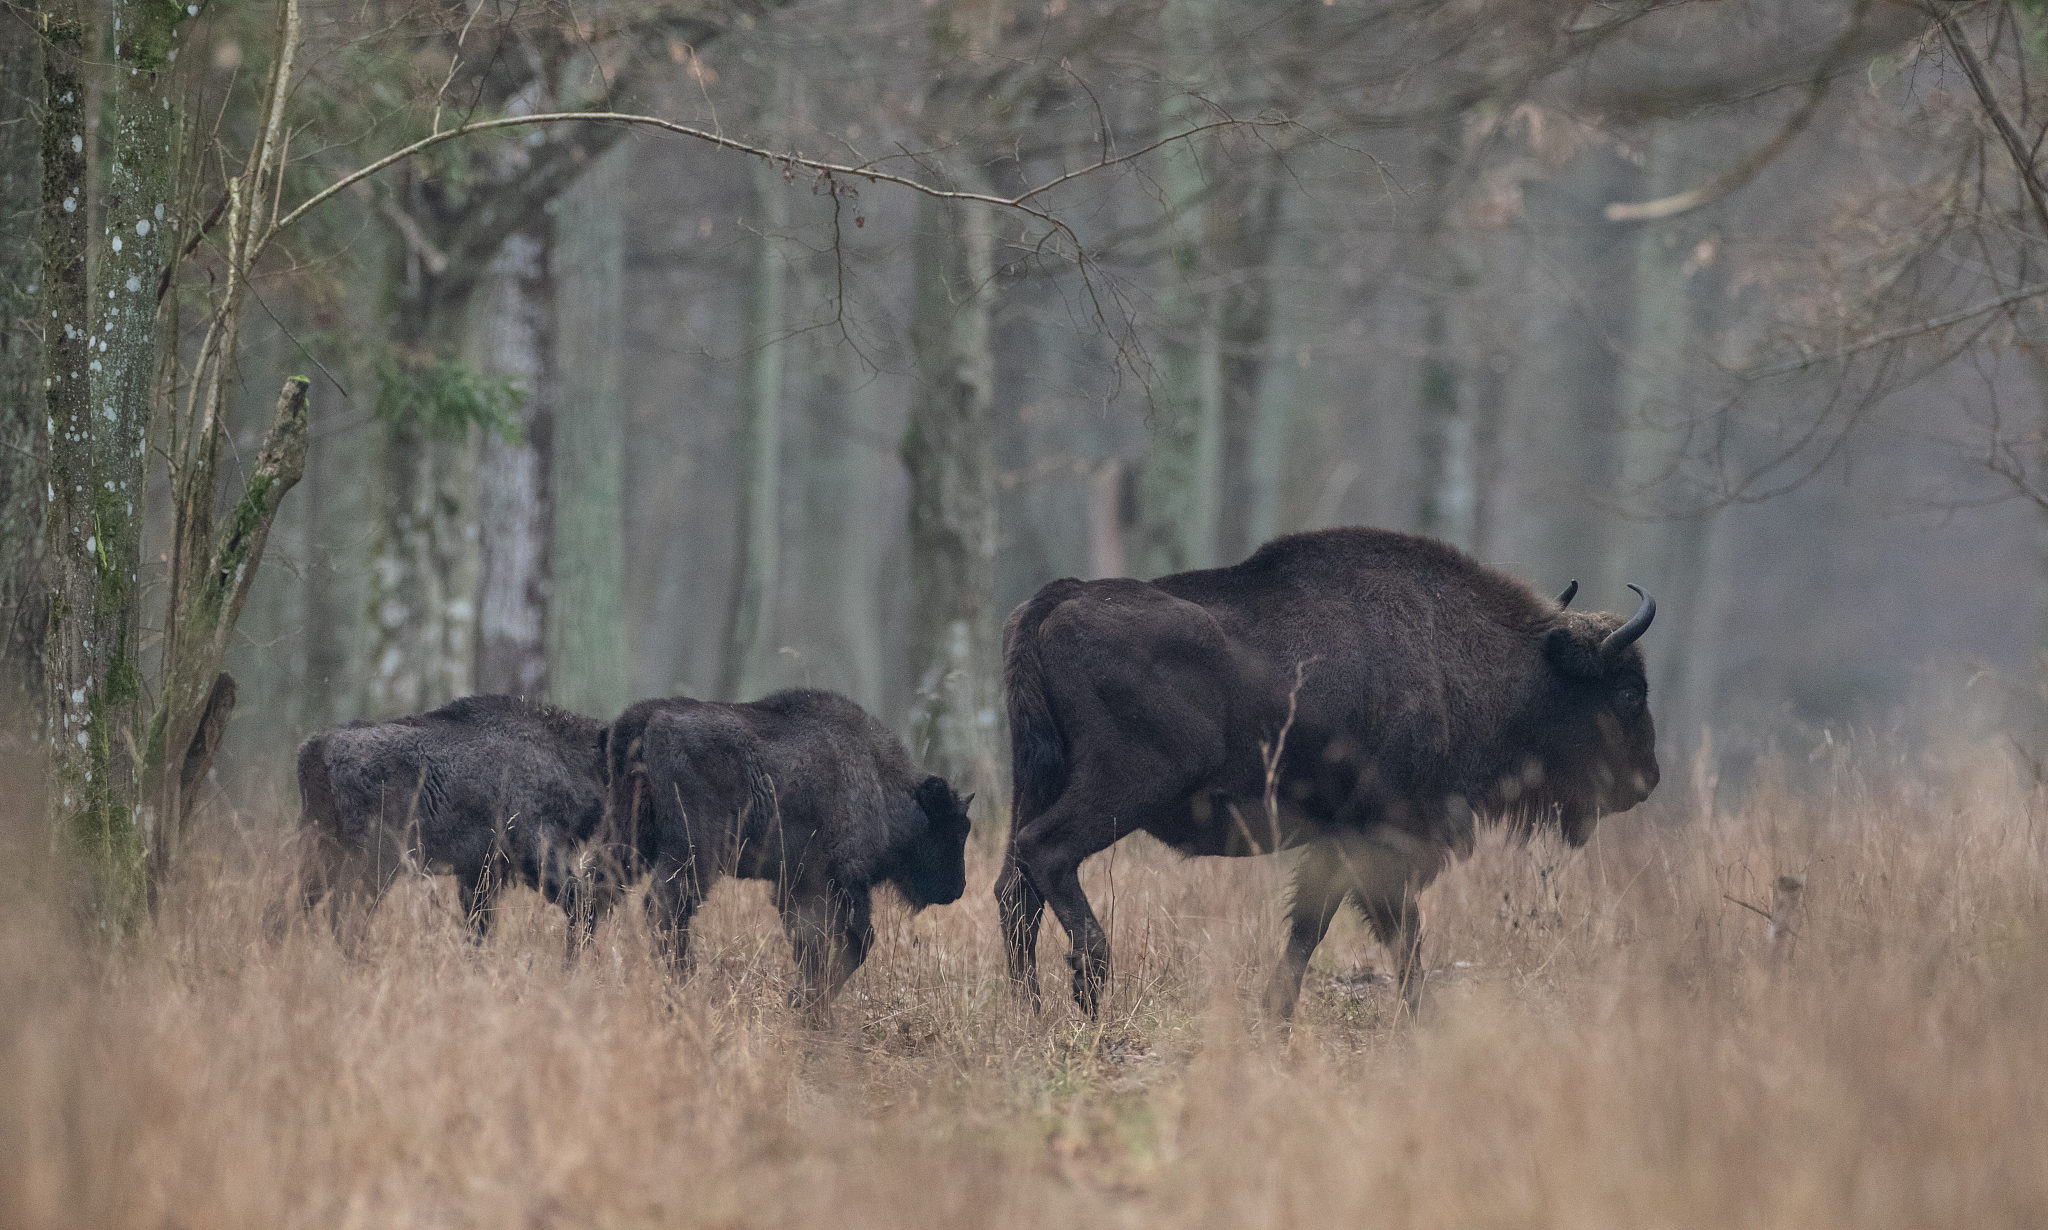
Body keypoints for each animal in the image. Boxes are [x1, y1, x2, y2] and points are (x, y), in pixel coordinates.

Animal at [296, 694, 614, 947]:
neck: (567, 760)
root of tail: (315, 750)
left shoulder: (478, 873)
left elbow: (478, 930)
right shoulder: (534, 856)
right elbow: (582, 905)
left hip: (321, 850)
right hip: (371, 861)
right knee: (344, 917)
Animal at [606, 689, 975, 1011]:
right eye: (951, 829)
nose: (958, 887)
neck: (881, 782)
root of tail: (647, 718)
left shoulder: (796, 886)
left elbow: (811, 945)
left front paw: (802, 1000)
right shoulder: (842, 878)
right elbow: (854, 941)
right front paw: (807, 1003)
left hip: (629, 841)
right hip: (693, 854)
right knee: (663, 908)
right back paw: (686, 987)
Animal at [997, 526, 1658, 1020]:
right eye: (1627, 691)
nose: (1647, 780)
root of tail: (1054, 602)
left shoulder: (1339, 841)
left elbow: (1311, 928)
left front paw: (1274, 1015)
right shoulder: (1383, 836)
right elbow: (1397, 932)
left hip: (1036, 780)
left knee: (1014, 888)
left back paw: (1030, 1012)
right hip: (1128, 786)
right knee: (1046, 853)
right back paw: (1090, 988)